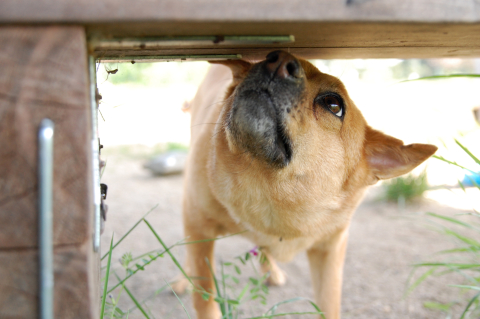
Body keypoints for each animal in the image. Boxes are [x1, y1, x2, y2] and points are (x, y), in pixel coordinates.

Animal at [174, 51, 436, 318]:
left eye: (333, 104)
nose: (275, 60)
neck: (270, 200)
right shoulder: (198, 226)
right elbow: (204, 295)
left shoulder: (331, 250)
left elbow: (329, 306)